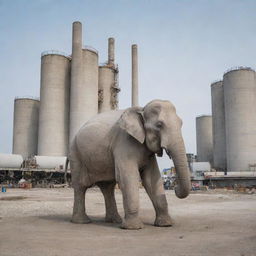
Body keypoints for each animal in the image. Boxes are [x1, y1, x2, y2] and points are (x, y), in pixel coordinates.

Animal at [69, 99, 191, 229]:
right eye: (159, 125)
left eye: (181, 123)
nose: (175, 188)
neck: (141, 109)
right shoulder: (124, 143)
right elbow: (128, 178)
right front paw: (134, 227)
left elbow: (151, 179)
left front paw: (165, 224)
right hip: (75, 154)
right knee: (80, 186)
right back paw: (82, 221)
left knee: (107, 187)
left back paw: (114, 220)